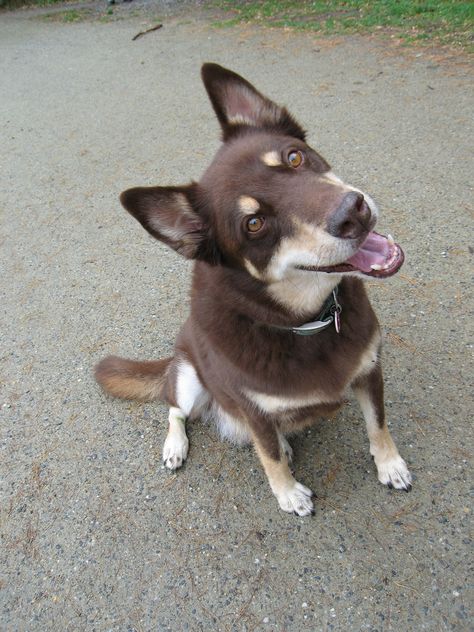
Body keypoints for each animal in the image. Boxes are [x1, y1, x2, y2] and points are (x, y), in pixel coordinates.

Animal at [95, 63, 412, 520]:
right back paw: (177, 445)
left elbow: (378, 423)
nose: (353, 212)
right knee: (175, 410)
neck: (305, 322)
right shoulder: (253, 409)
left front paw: (390, 464)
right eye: (254, 224)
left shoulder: (370, 370)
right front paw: (288, 493)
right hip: (188, 378)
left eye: (294, 156)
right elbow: (269, 457)